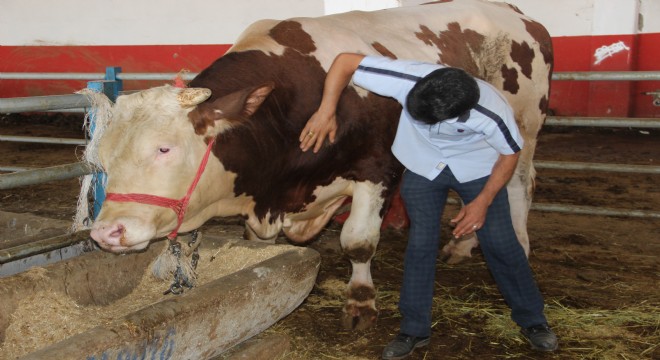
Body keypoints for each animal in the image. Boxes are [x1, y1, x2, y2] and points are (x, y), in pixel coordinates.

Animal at [86, 0, 552, 330]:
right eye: (103, 157)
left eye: (164, 150)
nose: (106, 232)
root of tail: (517, 13)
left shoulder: (378, 171)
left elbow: (358, 242)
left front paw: (361, 302)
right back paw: (462, 243)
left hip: (525, 126)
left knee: (518, 182)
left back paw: (519, 244)